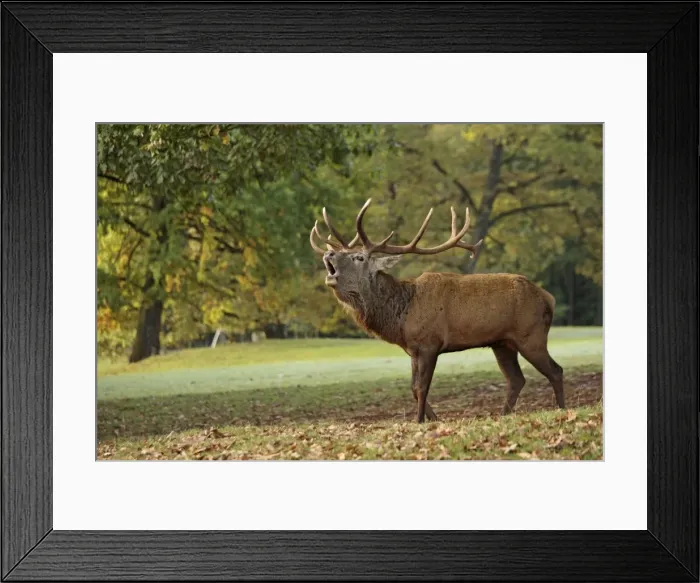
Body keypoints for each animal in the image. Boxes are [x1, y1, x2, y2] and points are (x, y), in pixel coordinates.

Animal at [310, 198, 565, 423]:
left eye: (359, 257)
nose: (329, 253)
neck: (401, 315)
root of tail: (549, 298)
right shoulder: (412, 349)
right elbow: (413, 388)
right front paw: (434, 420)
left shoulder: (430, 343)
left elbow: (422, 387)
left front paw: (420, 421)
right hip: (503, 343)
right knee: (516, 379)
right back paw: (504, 415)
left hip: (531, 335)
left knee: (555, 370)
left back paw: (562, 409)